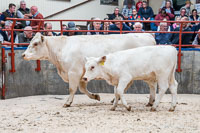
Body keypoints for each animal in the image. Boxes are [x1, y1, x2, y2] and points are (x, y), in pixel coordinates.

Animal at [22, 32, 156, 107]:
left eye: (35, 44)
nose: (23, 54)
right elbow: (82, 89)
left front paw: (67, 103)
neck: (62, 48)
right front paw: (96, 96)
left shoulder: (74, 73)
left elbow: (72, 89)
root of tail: (148, 35)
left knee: (150, 85)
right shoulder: (82, 75)